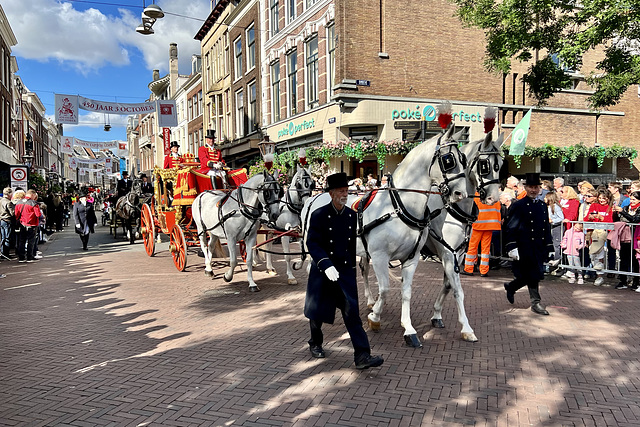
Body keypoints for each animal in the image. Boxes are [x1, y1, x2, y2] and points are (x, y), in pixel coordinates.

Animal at [302, 125, 468, 350]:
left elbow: (406, 292)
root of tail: (314, 197)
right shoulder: (380, 256)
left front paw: (409, 330)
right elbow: (386, 288)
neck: (399, 207)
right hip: (314, 248)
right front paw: (374, 318)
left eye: (464, 159)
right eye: (448, 159)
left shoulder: (411, 258)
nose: (461, 194)